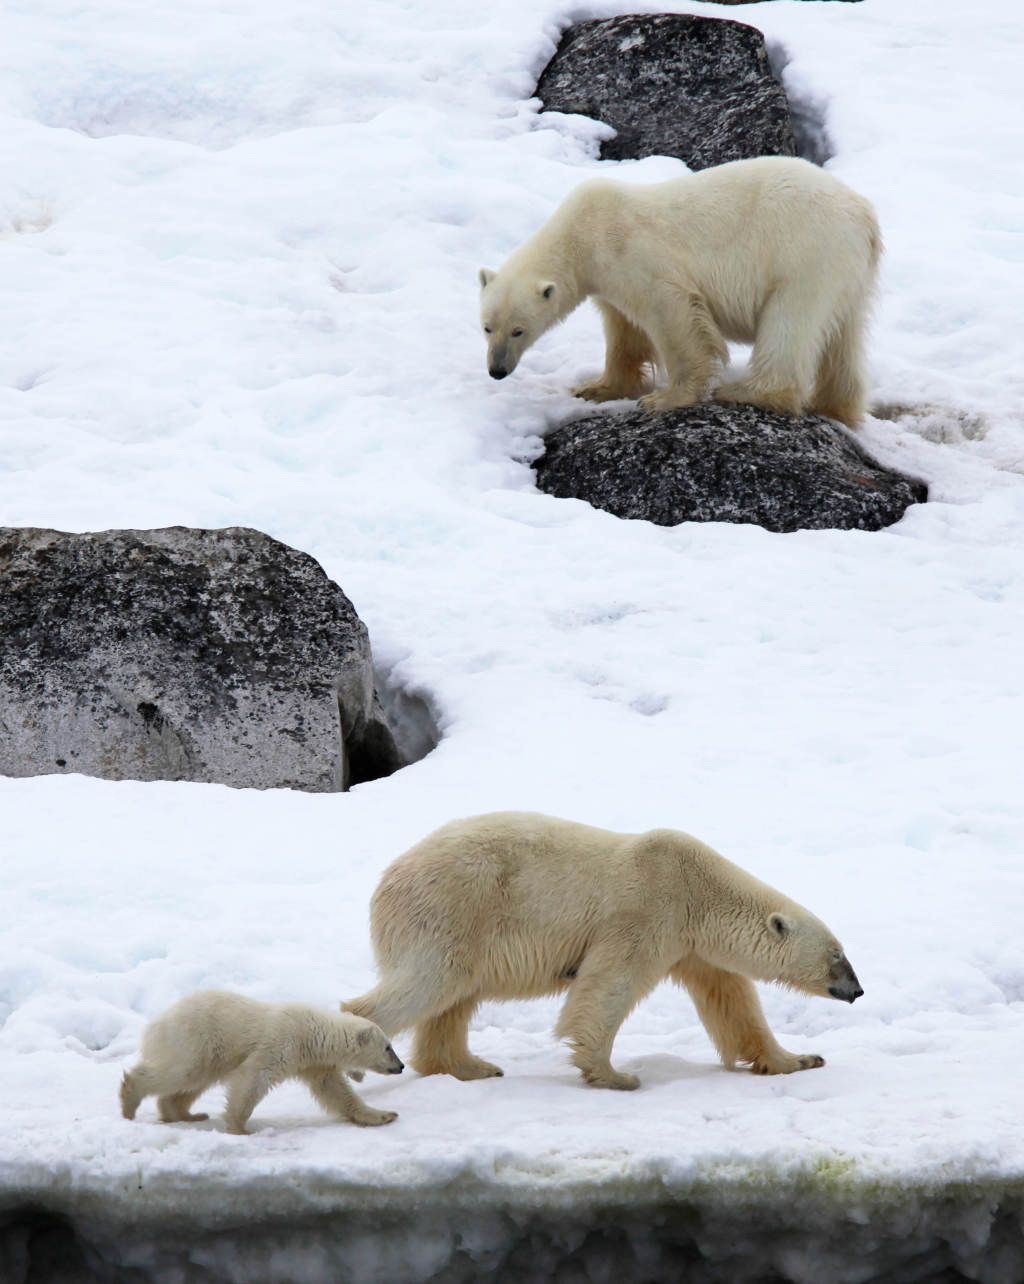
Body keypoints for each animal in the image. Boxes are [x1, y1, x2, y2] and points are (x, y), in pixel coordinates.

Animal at [346, 816, 867, 1088]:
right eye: (836, 955)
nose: (858, 990)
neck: (698, 887)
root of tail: (385, 882)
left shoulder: (692, 946)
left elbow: (732, 1002)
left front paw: (799, 1059)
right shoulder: (648, 908)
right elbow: (609, 985)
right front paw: (615, 1075)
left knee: (453, 1001)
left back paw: (472, 1066)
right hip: (452, 910)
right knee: (427, 983)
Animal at [482, 154, 882, 426]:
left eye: (518, 331)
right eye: (487, 328)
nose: (496, 371)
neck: (581, 233)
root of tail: (864, 216)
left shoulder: (631, 253)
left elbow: (671, 313)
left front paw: (663, 399)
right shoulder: (606, 279)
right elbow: (624, 332)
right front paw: (596, 387)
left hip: (804, 252)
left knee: (789, 322)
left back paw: (746, 392)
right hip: (846, 274)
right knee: (843, 338)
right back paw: (834, 405)